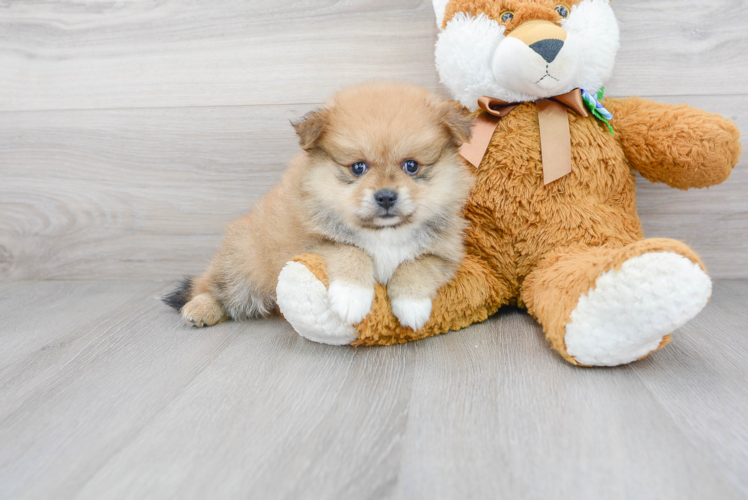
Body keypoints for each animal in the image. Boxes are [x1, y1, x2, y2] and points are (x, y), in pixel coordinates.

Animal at [167, 81, 476, 332]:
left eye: (411, 166)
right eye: (358, 167)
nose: (386, 197)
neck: (384, 232)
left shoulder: (445, 255)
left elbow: (416, 265)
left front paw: (412, 306)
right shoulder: (313, 244)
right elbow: (352, 251)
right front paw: (352, 297)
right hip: (245, 267)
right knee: (213, 288)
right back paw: (200, 308)